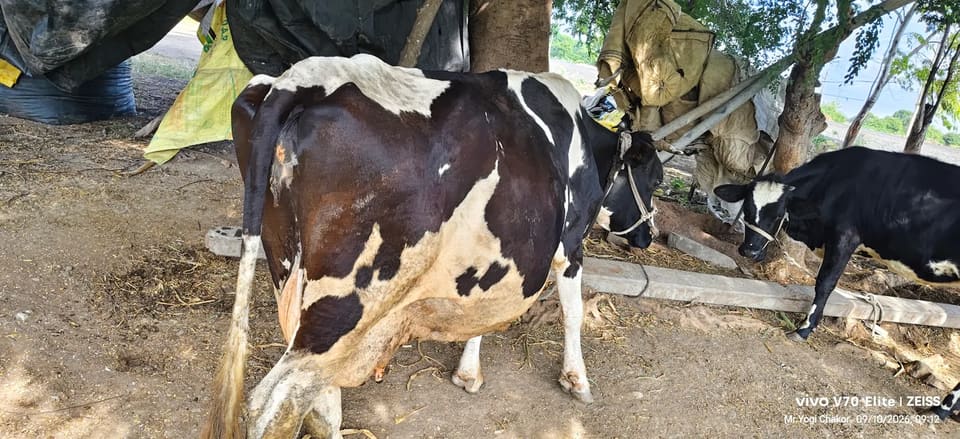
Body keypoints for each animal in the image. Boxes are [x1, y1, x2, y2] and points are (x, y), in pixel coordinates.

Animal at [201, 53, 663, 438]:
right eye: (656, 179)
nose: (648, 237)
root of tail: (299, 78)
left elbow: (479, 313)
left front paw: (468, 374)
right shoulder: (570, 245)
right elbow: (573, 313)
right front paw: (577, 380)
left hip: (287, 269)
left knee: (319, 394)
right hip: (347, 302)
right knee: (279, 401)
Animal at [714, 146, 960, 341]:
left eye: (778, 214)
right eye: (747, 208)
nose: (749, 251)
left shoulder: (845, 236)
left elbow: (825, 282)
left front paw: (804, 329)